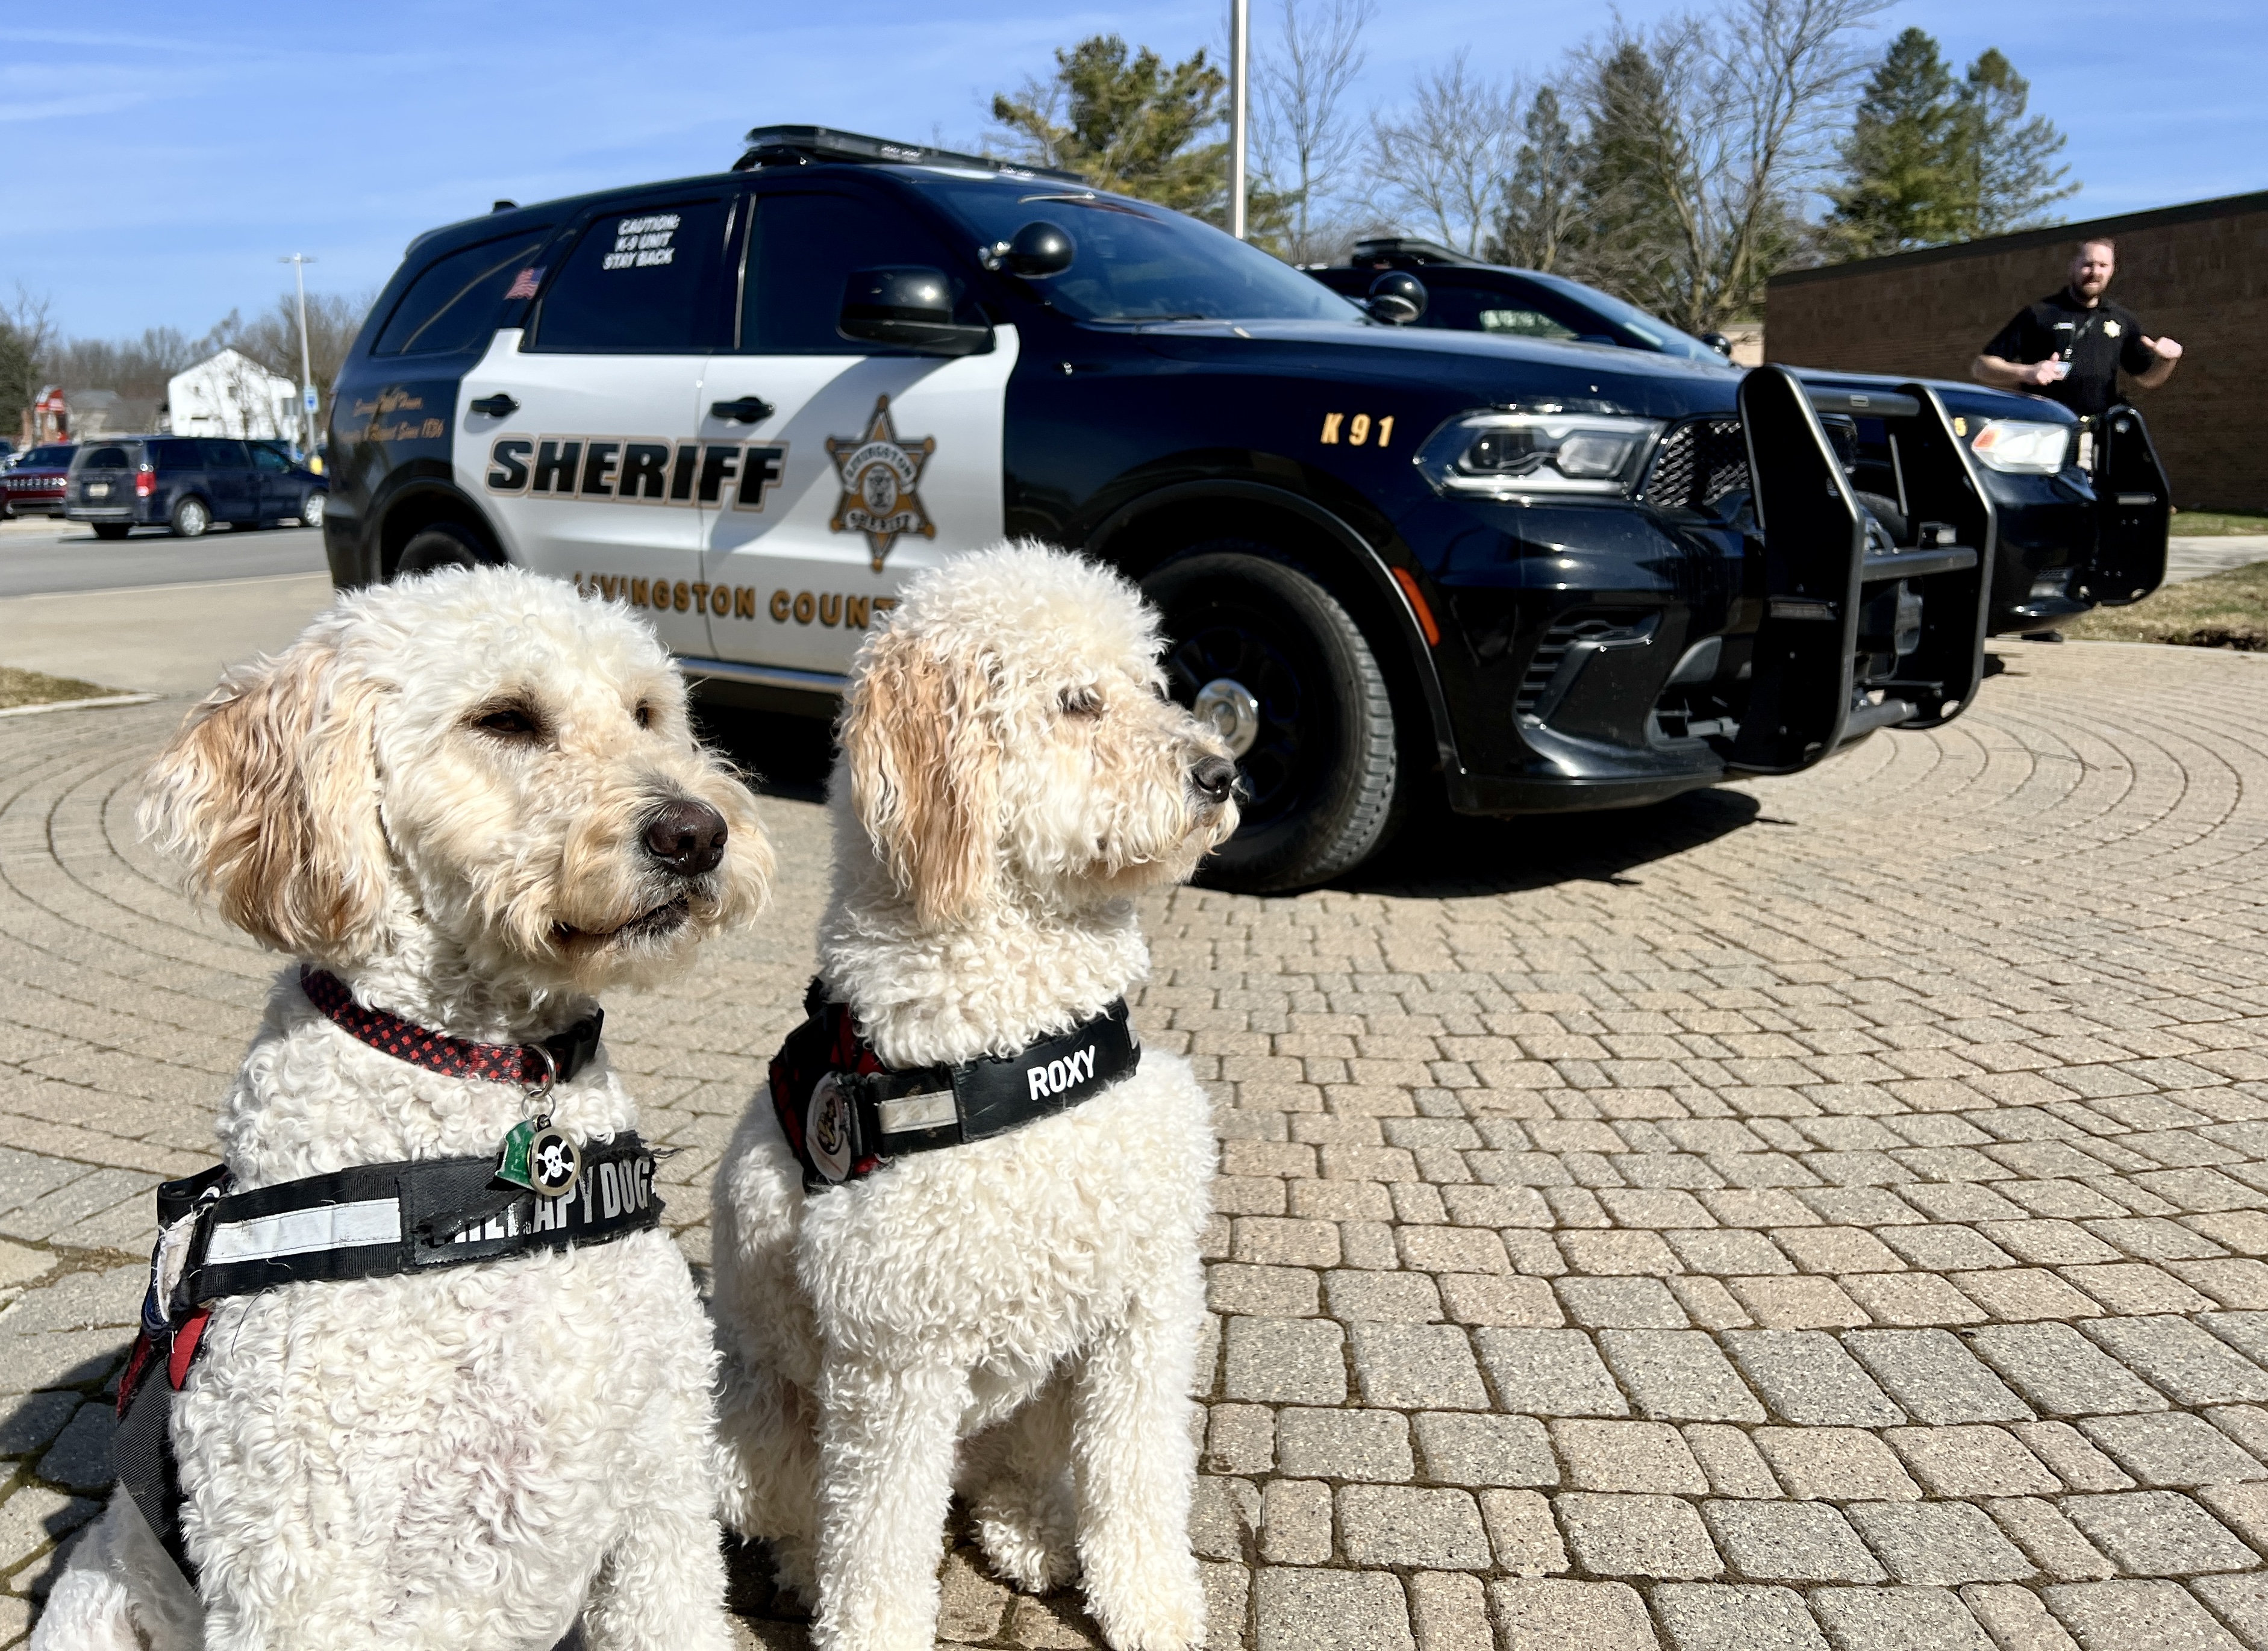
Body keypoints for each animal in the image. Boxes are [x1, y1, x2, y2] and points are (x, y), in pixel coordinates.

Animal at [707, 544, 1243, 1651]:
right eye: (1077, 702)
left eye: (1152, 685)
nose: (1222, 773)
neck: (1023, 1042)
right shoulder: (894, 1357)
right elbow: (878, 1535)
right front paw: (866, 1627)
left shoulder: (1147, 1301)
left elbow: (1138, 1473)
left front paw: (1151, 1601)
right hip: (752, 1425)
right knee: (807, 1513)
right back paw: (805, 1572)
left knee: (1017, 1467)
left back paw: (1029, 1527)